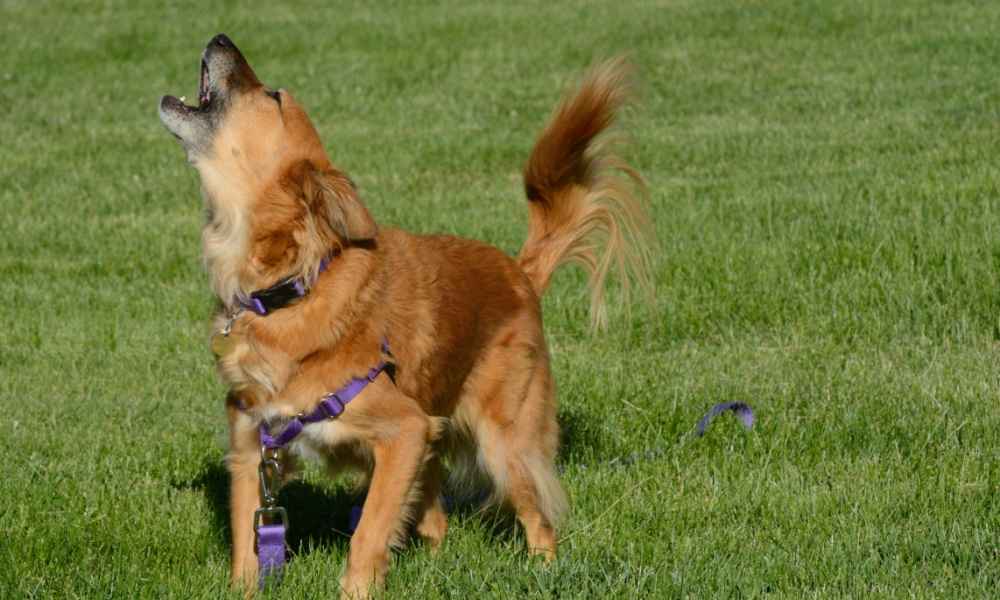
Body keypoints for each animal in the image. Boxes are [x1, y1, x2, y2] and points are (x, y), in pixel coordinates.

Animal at [159, 35, 652, 596]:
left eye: (273, 96)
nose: (220, 39)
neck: (290, 290)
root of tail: (518, 272)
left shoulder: (404, 431)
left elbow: (369, 532)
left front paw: (357, 589)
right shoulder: (251, 449)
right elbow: (247, 544)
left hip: (506, 441)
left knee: (538, 518)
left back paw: (545, 573)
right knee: (436, 522)